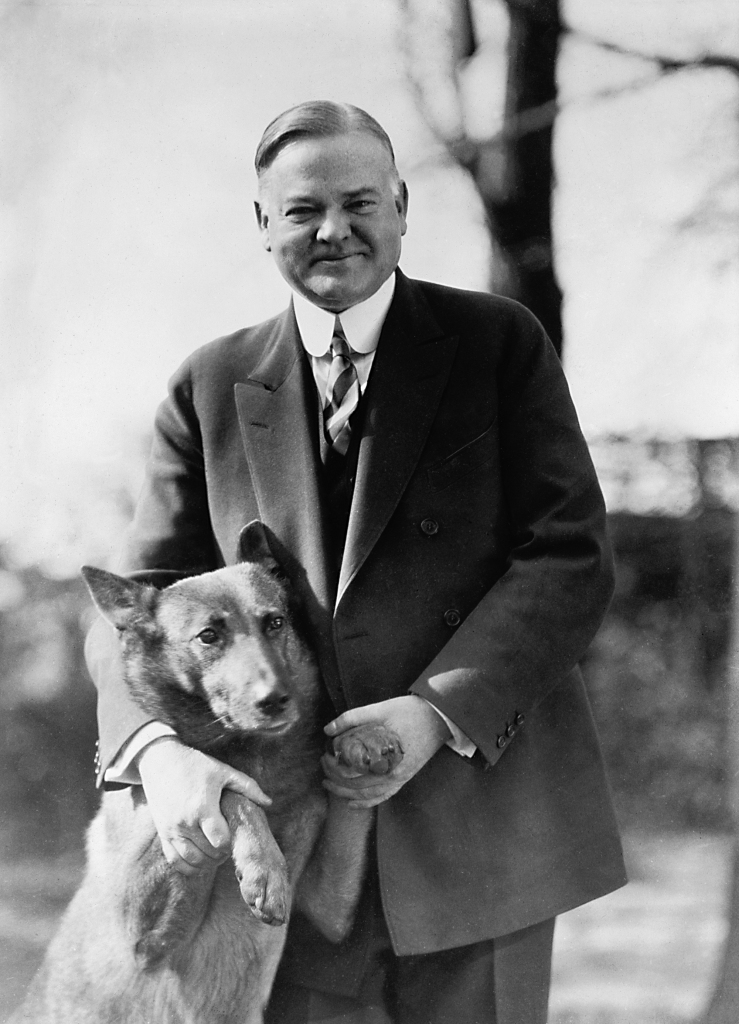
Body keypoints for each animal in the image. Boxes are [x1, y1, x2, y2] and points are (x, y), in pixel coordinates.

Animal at [10, 524, 403, 1024]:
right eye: (208, 636)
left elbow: (347, 804)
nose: (276, 700)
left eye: (274, 622)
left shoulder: (327, 906)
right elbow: (231, 790)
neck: (252, 753)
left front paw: (360, 739)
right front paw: (263, 866)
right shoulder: (142, 933)